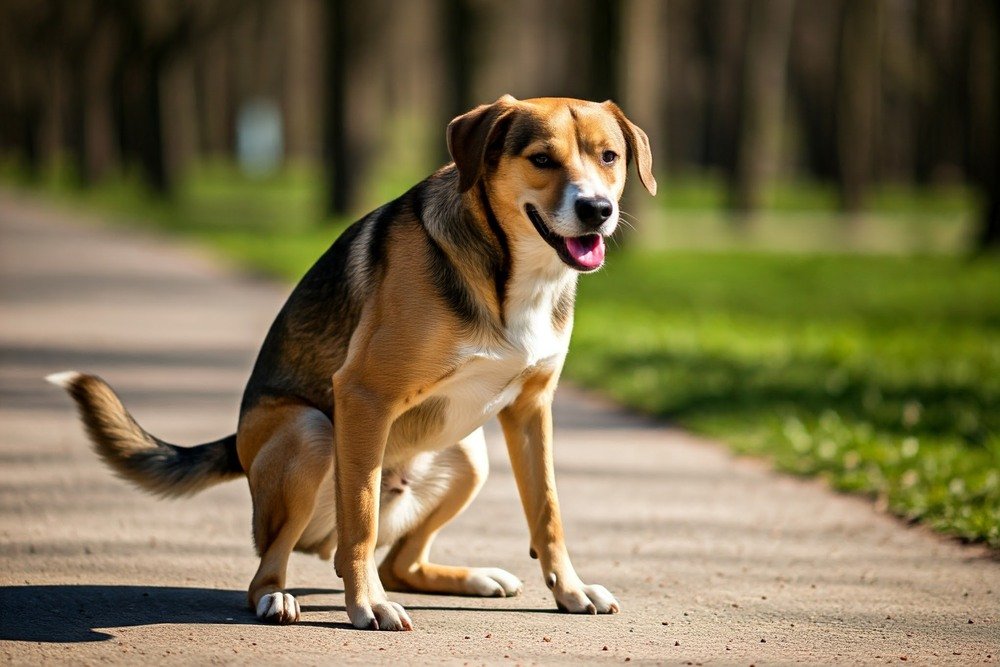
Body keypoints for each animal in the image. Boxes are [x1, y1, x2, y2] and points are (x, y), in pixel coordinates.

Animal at [50, 94, 656, 632]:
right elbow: (359, 519)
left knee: (401, 562)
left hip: (469, 458)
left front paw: (570, 592)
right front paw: (369, 605)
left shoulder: (531, 409)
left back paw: (472, 578)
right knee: (281, 565)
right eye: (542, 159)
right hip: (312, 434)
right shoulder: (364, 395)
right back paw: (279, 599)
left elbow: (547, 512)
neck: (512, 271)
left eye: (609, 156)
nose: (597, 210)